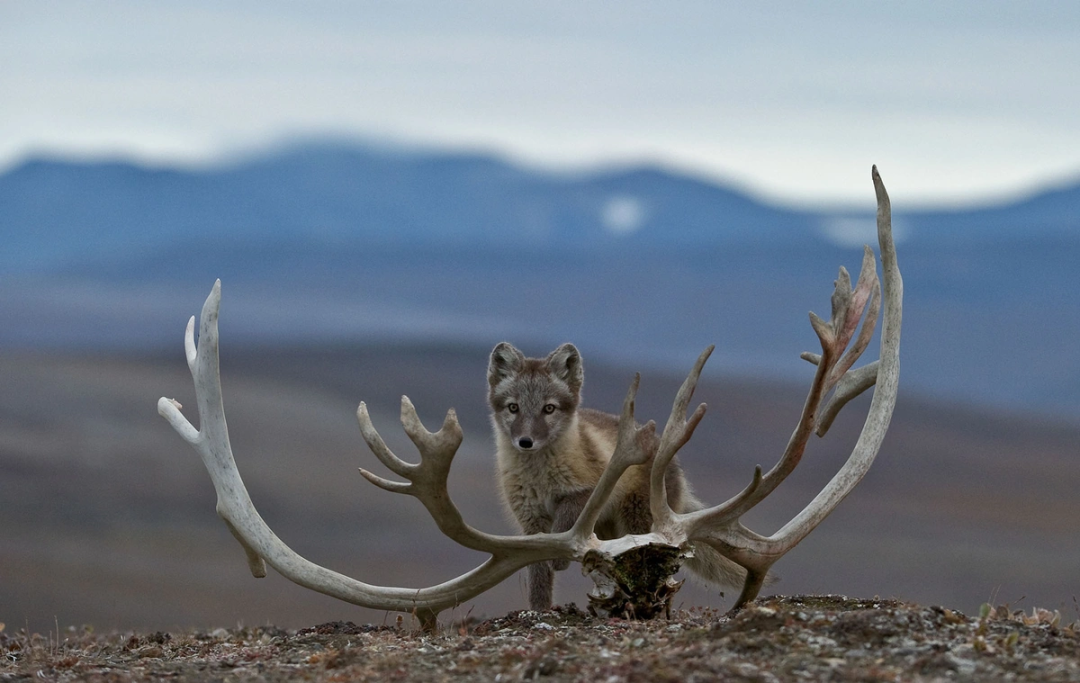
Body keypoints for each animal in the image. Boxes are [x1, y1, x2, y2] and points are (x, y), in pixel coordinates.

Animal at [488, 341, 747, 609]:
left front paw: (559, 561)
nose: (525, 442)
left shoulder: (586, 491)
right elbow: (538, 575)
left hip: (637, 522)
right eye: (513, 408)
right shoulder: (531, 522)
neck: (539, 478)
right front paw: (539, 609)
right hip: (608, 532)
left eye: (549, 408)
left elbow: (564, 520)